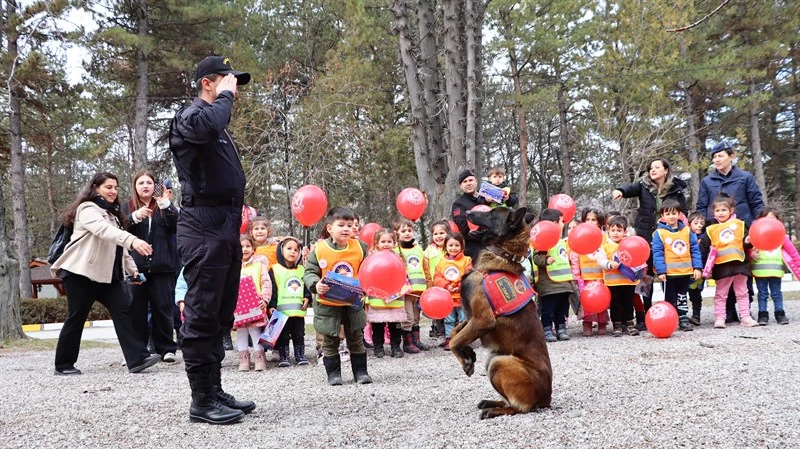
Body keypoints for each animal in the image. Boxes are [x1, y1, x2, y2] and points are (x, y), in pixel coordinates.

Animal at [446, 208, 552, 418]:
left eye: (492, 214)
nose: (467, 211)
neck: (501, 253)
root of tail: (547, 397)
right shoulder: (472, 317)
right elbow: (455, 333)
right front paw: (467, 353)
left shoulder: (483, 320)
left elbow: (453, 340)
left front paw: (465, 360)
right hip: (493, 359)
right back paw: (492, 402)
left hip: (499, 362)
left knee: (521, 407)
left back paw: (495, 410)